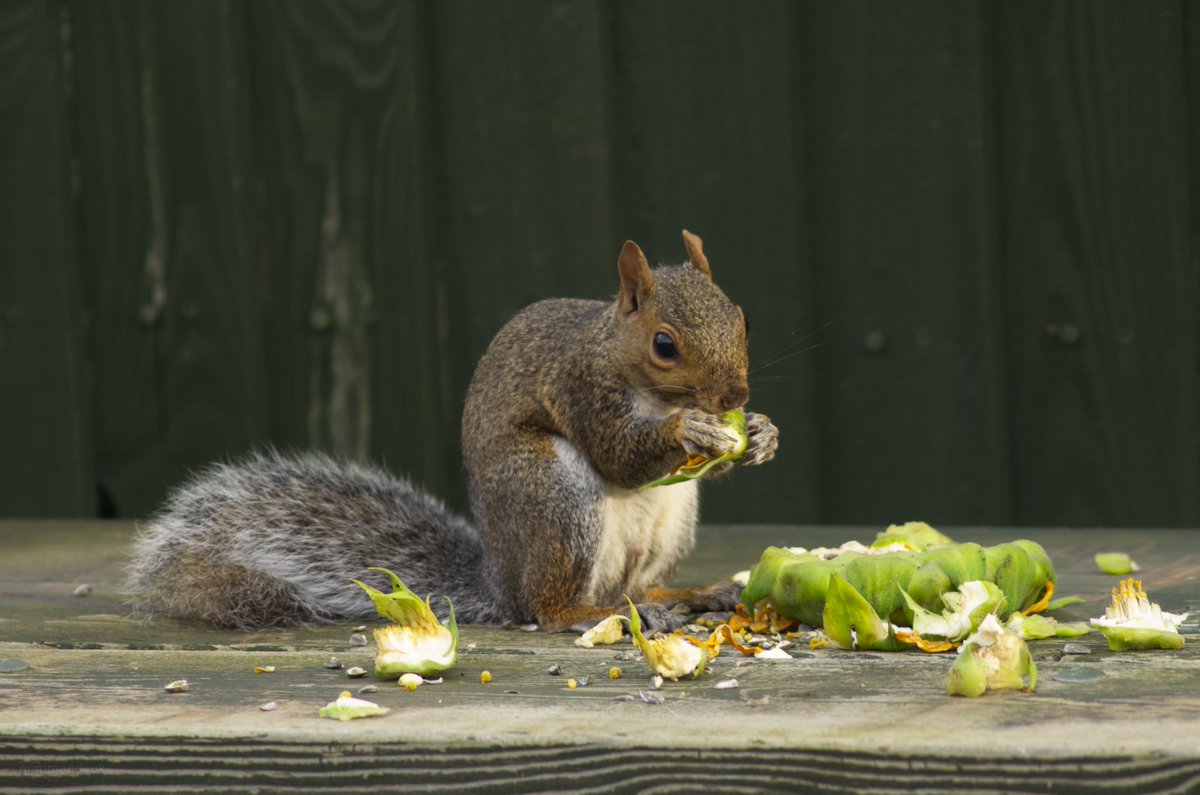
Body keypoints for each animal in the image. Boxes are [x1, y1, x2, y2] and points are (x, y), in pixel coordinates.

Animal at [126, 230, 779, 632]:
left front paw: (762, 433)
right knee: (549, 607)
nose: (734, 399)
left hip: (672, 521)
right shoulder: (582, 388)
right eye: (664, 345)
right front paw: (690, 428)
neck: (617, 355)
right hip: (555, 497)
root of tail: (501, 584)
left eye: (744, 318)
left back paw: (687, 596)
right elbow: (619, 453)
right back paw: (591, 614)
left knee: (636, 590)